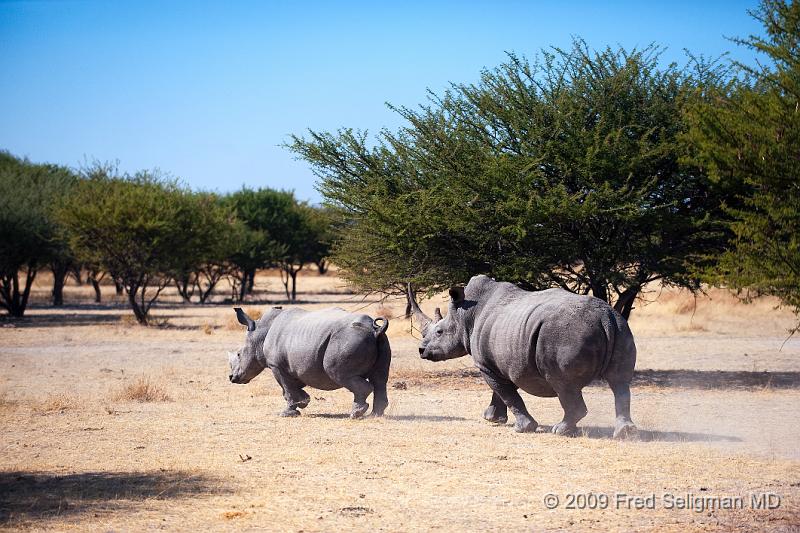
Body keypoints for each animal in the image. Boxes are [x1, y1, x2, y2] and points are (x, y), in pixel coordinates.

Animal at [228, 306, 390, 418]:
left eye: (239, 354)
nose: (231, 378)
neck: (260, 333)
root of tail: (375, 329)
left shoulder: (276, 366)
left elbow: (287, 388)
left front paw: (287, 413)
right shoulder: (294, 366)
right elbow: (292, 387)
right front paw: (303, 402)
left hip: (349, 338)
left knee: (340, 374)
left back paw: (355, 414)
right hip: (381, 341)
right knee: (380, 379)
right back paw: (375, 415)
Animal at [410, 274, 636, 436]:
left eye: (439, 332)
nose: (421, 350)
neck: (465, 315)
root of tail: (604, 316)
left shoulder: (486, 365)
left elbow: (507, 393)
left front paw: (522, 428)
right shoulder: (511, 359)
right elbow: (503, 390)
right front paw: (492, 418)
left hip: (564, 335)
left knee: (562, 383)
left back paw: (560, 430)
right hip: (620, 327)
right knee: (620, 382)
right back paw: (625, 433)